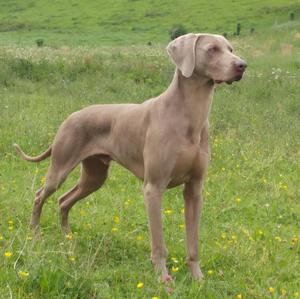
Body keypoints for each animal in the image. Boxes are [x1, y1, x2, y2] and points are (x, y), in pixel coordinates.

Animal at [14, 34, 246, 282]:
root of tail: (70, 117)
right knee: (40, 195)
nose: (242, 65)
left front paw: (198, 279)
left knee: (64, 200)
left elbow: (193, 242)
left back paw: (68, 238)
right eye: (212, 49)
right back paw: (35, 234)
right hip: (60, 167)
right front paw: (163, 278)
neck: (190, 116)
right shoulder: (153, 188)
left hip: (94, 176)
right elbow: (158, 243)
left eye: (231, 49)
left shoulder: (195, 189)